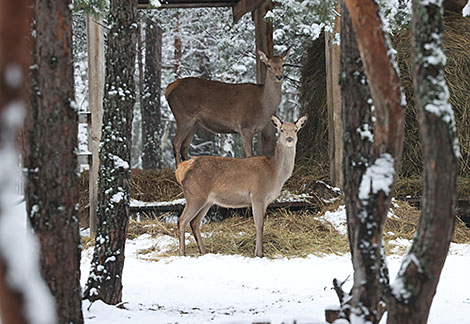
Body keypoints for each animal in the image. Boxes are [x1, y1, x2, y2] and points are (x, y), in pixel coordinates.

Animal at [174, 115, 306, 256]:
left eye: (296, 130)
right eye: (281, 130)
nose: (289, 139)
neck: (274, 173)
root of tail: (181, 169)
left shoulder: (265, 201)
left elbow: (260, 224)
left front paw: (257, 251)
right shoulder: (257, 195)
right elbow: (259, 224)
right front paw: (260, 253)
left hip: (207, 201)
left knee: (194, 222)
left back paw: (204, 251)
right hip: (194, 196)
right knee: (182, 220)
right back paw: (182, 252)